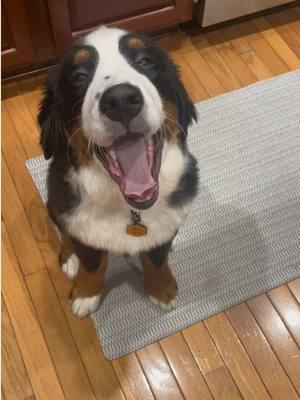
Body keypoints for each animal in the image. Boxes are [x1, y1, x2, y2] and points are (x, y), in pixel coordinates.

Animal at [38, 25, 198, 318]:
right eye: (79, 76)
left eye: (145, 61)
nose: (121, 99)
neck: (129, 209)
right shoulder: (78, 221)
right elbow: (92, 263)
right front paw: (86, 295)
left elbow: (156, 259)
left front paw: (162, 289)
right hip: (55, 198)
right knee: (64, 230)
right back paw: (69, 258)